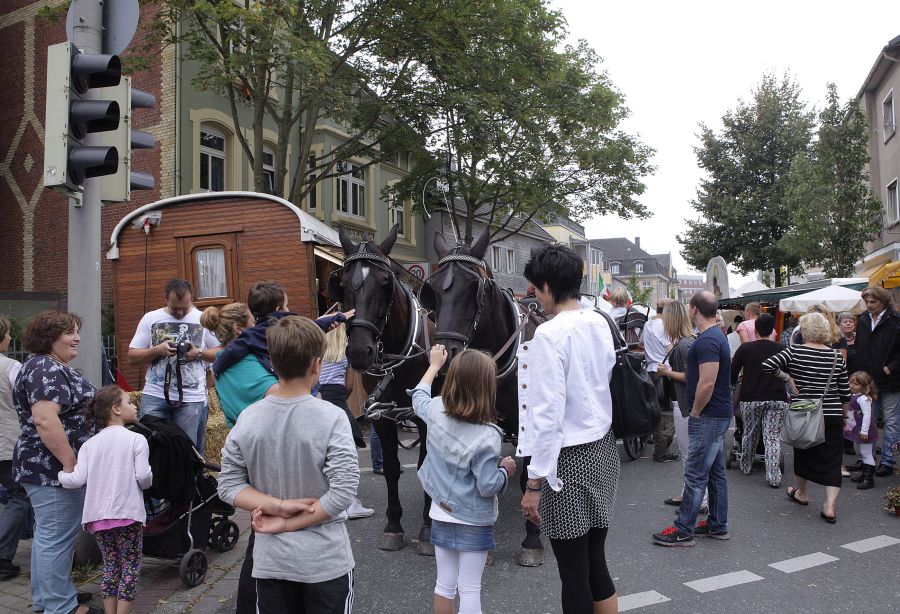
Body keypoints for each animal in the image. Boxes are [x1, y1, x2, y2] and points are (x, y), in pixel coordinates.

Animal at [328, 224, 436, 555]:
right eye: (342, 283)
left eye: (386, 282)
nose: (359, 351)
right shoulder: (382, 416)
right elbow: (390, 467)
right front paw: (393, 525)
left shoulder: (425, 417)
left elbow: (425, 464)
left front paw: (427, 528)